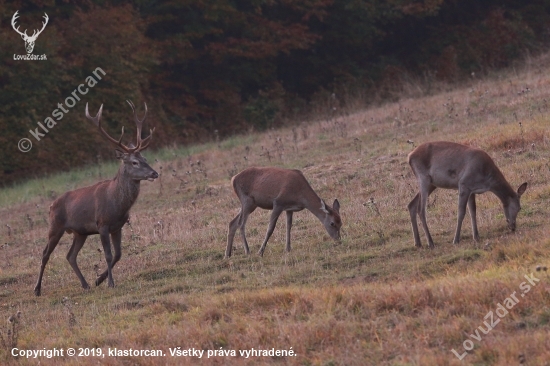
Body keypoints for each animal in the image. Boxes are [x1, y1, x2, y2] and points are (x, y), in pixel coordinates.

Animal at [34, 101, 157, 296]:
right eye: (134, 162)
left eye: (145, 158)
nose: (154, 173)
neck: (117, 205)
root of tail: (51, 205)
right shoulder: (102, 224)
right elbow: (108, 254)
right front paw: (110, 283)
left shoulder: (117, 226)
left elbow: (118, 254)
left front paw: (99, 279)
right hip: (55, 226)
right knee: (45, 253)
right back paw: (37, 289)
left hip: (80, 232)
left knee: (70, 255)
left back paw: (85, 284)